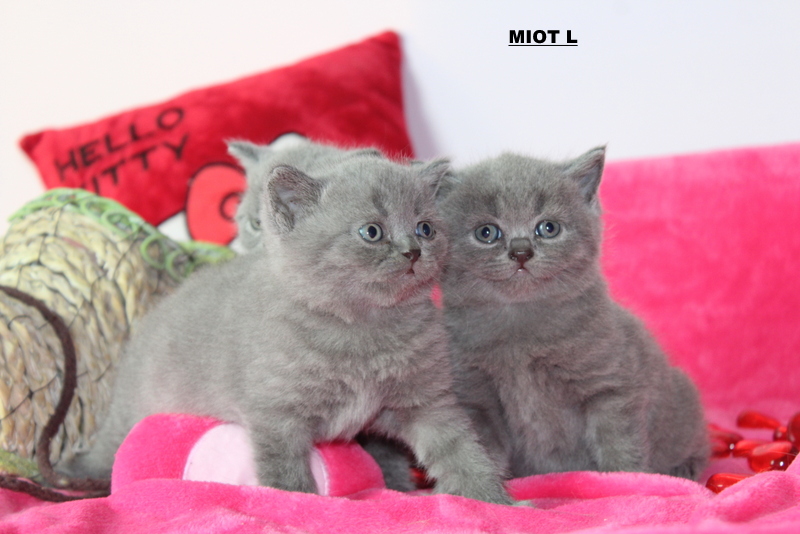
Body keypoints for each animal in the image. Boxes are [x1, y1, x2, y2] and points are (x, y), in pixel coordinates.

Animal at [67, 149, 512, 504]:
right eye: (371, 232)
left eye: (425, 228)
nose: (414, 250)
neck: (365, 329)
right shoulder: (277, 413)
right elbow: (285, 472)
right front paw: (300, 505)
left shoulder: (426, 401)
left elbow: (459, 450)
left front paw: (492, 500)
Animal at [437, 147, 709, 480]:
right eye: (486, 232)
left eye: (548, 228)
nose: (521, 250)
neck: (520, 329)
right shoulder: (476, 397)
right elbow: (482, 447)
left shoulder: (609, 384)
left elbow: (619, 442)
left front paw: (627, 480)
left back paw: (684, 468)